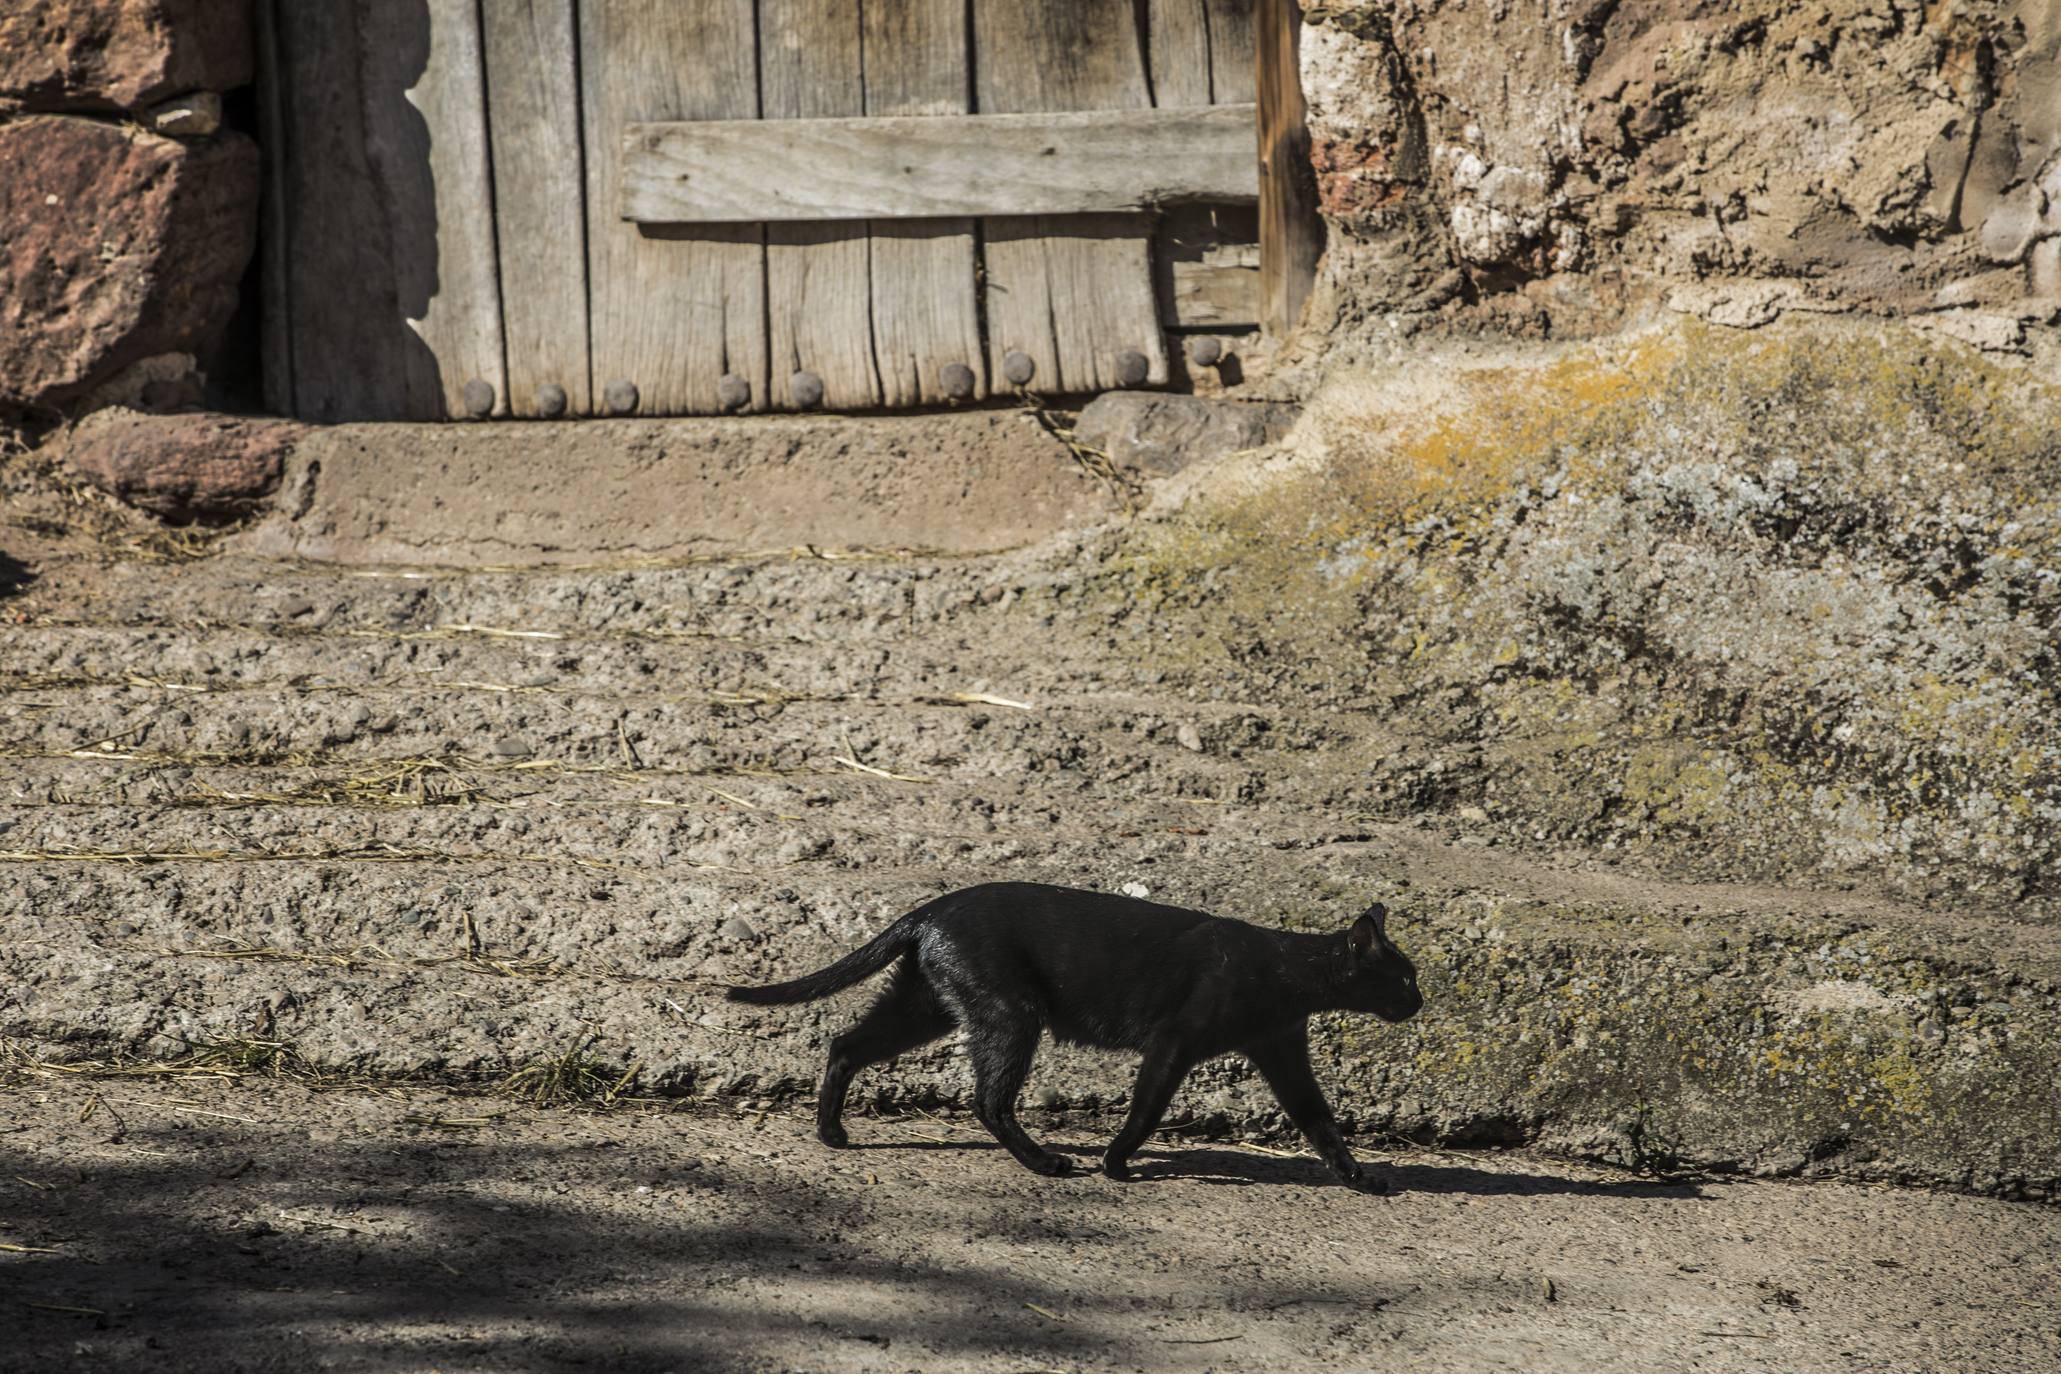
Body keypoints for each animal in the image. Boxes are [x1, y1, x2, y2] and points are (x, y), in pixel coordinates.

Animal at [721, 885, 1417, 1186]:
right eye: (1404, 977)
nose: (1420, 1000)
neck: (1290, 974)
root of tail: (930, 910)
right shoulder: (1175, 1042)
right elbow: (1145, 1111)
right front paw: (1116, 1165)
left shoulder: (1282, 1051)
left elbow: (1319, 1120)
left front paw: (1358, 1176)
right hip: (1010, 1012)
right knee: (989, 1099)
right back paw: (1049, 1163)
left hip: (929, 1006)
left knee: (846, 1044)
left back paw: (832, 1134)